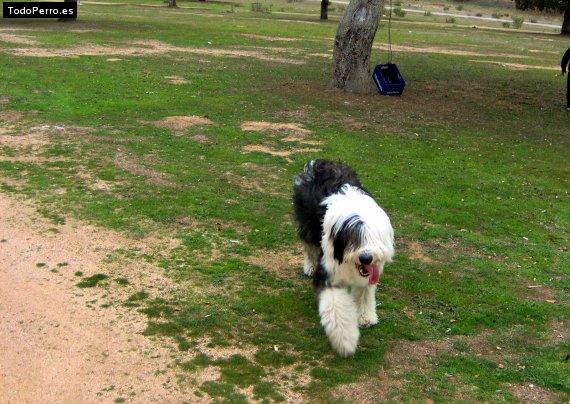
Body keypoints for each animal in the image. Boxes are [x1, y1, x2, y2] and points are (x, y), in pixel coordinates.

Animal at [292, 159, 390, 356]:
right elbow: (336, 305)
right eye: (354, 238)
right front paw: (346, 340)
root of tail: (321, 162)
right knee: (309, 246)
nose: (366, 258)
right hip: (307, 224)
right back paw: (309, 266)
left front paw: (366, 316)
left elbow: (365, 293)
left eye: (373, 239)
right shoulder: (328, 270)